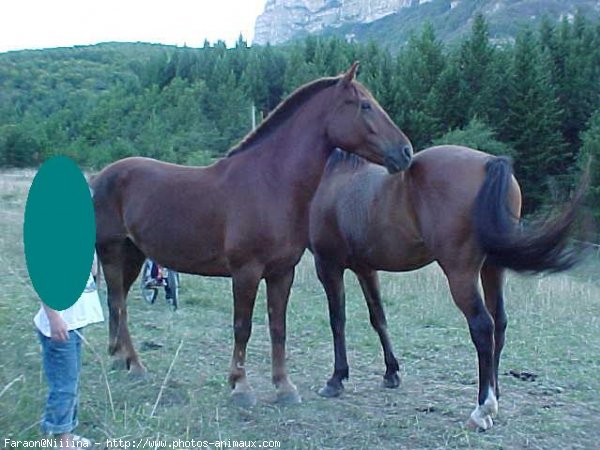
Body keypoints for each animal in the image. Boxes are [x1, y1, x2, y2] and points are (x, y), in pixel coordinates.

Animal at [91, 64, 414, 408]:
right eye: (365, 105)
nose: (405, 151)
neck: (270, 182)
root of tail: (99, 176)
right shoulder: (245, 271)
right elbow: (242, 327)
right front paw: (240, 386)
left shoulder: (281, 272)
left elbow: (277, 326)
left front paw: (284, 387)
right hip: (111, 251)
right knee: (117, 303)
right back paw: (134, 364)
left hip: (134, 253)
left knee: (120, 302)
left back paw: (123, 360)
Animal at [310, 146, 584, 430]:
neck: (333, 174)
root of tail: (490, 162)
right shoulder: (366, 269)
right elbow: (378, 318)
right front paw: (391, 372)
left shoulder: (328, 265)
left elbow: (337, 320)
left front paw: (336, 379)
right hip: (492, 268)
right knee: (499, 322)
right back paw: (494, 394)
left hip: (460, 274)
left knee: (482, 326)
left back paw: (482, 409)